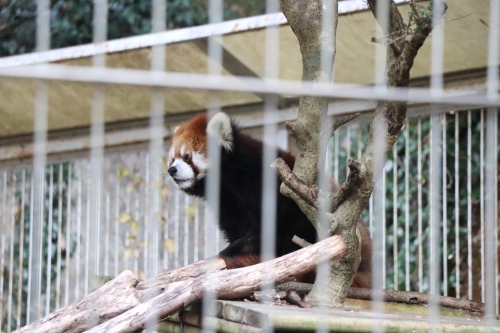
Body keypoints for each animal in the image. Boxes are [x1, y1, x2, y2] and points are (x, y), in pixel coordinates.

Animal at [168, 112, 372, 288]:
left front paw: (230, 253)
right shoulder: (229, 206)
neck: (230, 182)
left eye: (187, 156)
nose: (171, 170)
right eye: (172, 159)